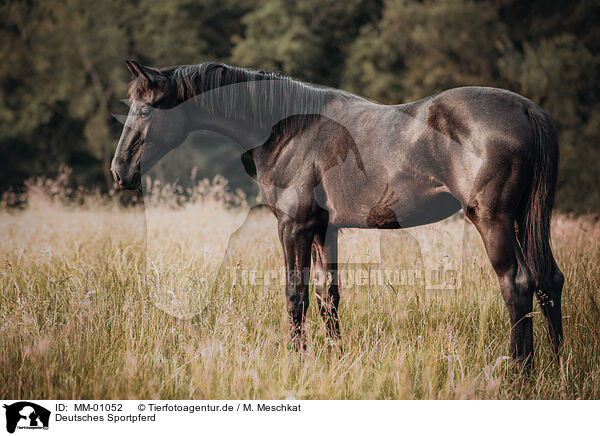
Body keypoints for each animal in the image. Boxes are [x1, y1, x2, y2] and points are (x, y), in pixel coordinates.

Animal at [111, 59, 564, 370]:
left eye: (145, 110)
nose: (119, 172)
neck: (290, 129)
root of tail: (529, 111)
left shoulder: (293, 225)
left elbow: (295, 295)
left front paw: (296, 360)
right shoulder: (323, 229)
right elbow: (327, 295)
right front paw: (333, 358)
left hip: (493, 221)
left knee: (517, 286)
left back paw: (519, 373)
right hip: (525, 222)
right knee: (548, 282)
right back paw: (556, 368)